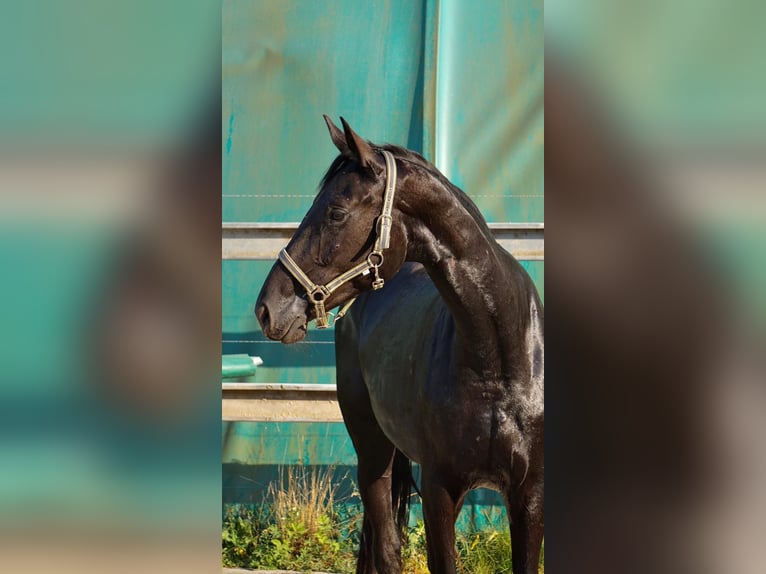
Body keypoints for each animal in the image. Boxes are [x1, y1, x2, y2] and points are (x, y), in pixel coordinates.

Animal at [255, 115, 544, 574]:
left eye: (336, 212)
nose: (267, 309)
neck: (498, 359)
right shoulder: (440, 492)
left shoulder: (530, 498)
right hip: (372, 451)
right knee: (387, 550)